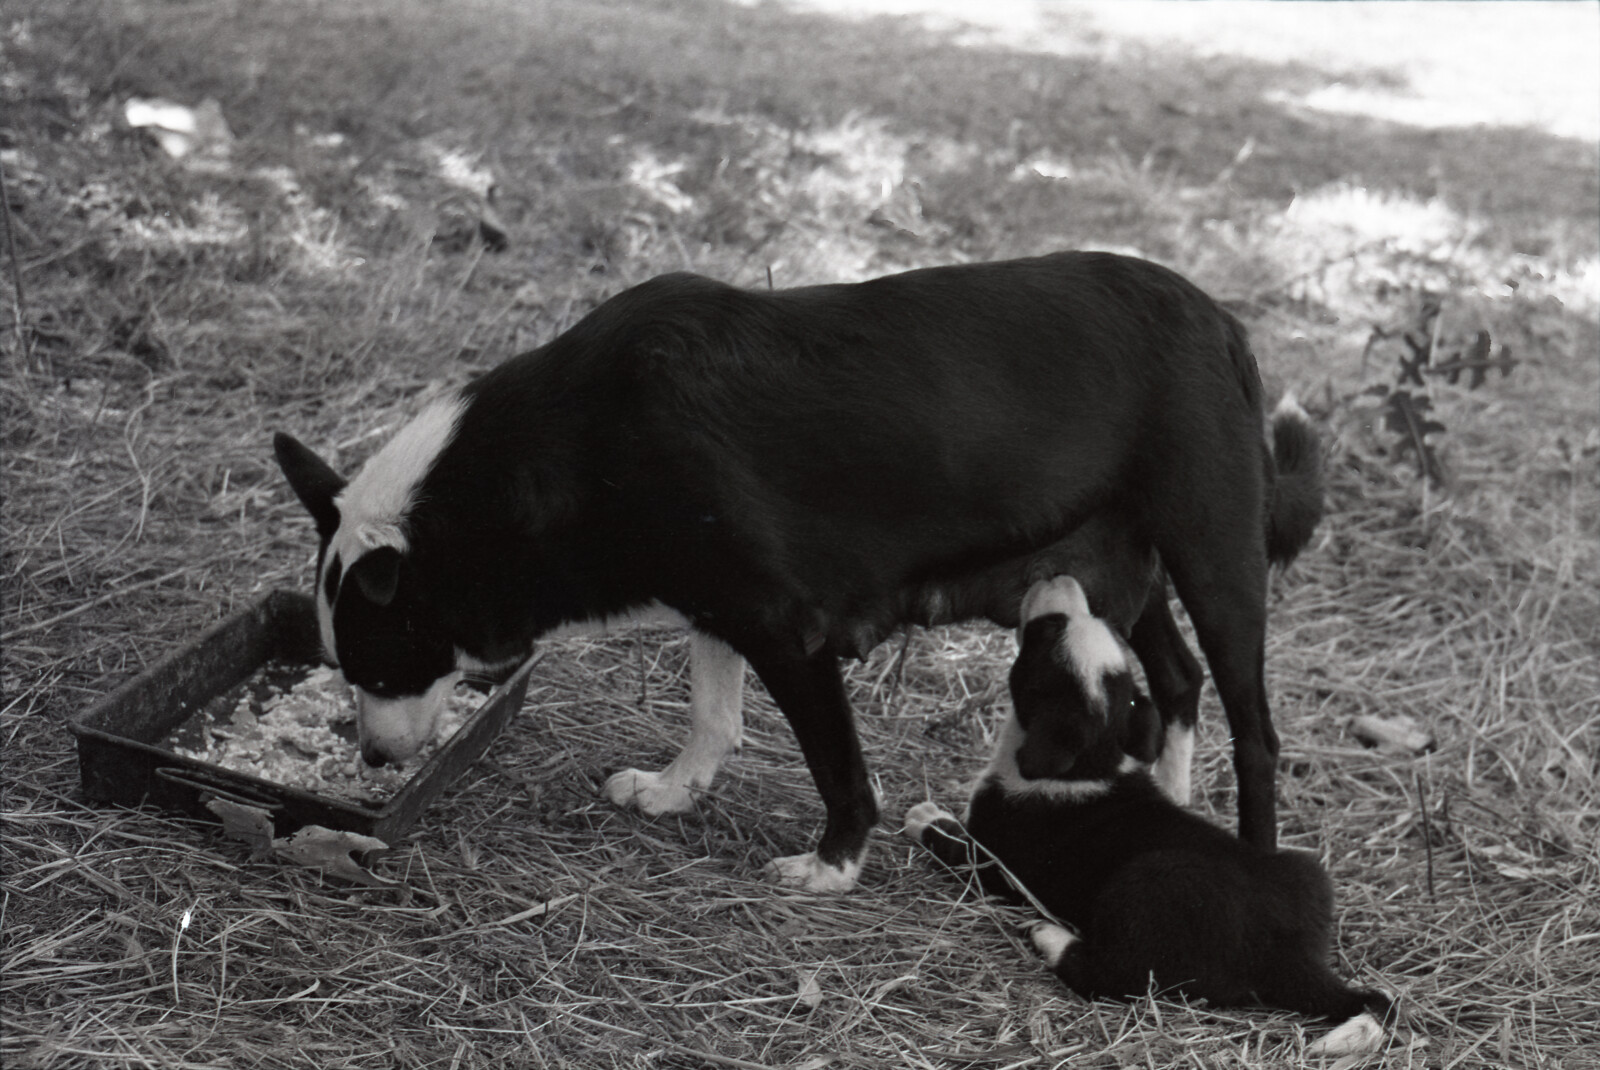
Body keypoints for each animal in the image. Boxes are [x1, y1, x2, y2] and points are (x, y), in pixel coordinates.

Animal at [278, 247, 1324, 882]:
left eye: (382, 668)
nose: (372, 758)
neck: (578, 446)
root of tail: (1223, 322)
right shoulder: (716, 605)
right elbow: (713, 718)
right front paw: (673, 793)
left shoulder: (788, 629)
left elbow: (837, 766)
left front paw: (832, 865)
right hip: (1114, 571)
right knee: (1174, 680)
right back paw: (1171, 805)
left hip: (1213, 557)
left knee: (1254, 729)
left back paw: (1253, 850)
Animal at [908, 575, 1395, 1049]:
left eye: (1046, 633)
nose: (1059, 576)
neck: (1093, 761)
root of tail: (1291, 957)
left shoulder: (994, 858)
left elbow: (953, 845)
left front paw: (923, 816)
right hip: (1307, 870)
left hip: (1145, 887)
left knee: (1111, 977)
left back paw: (1050, 936)